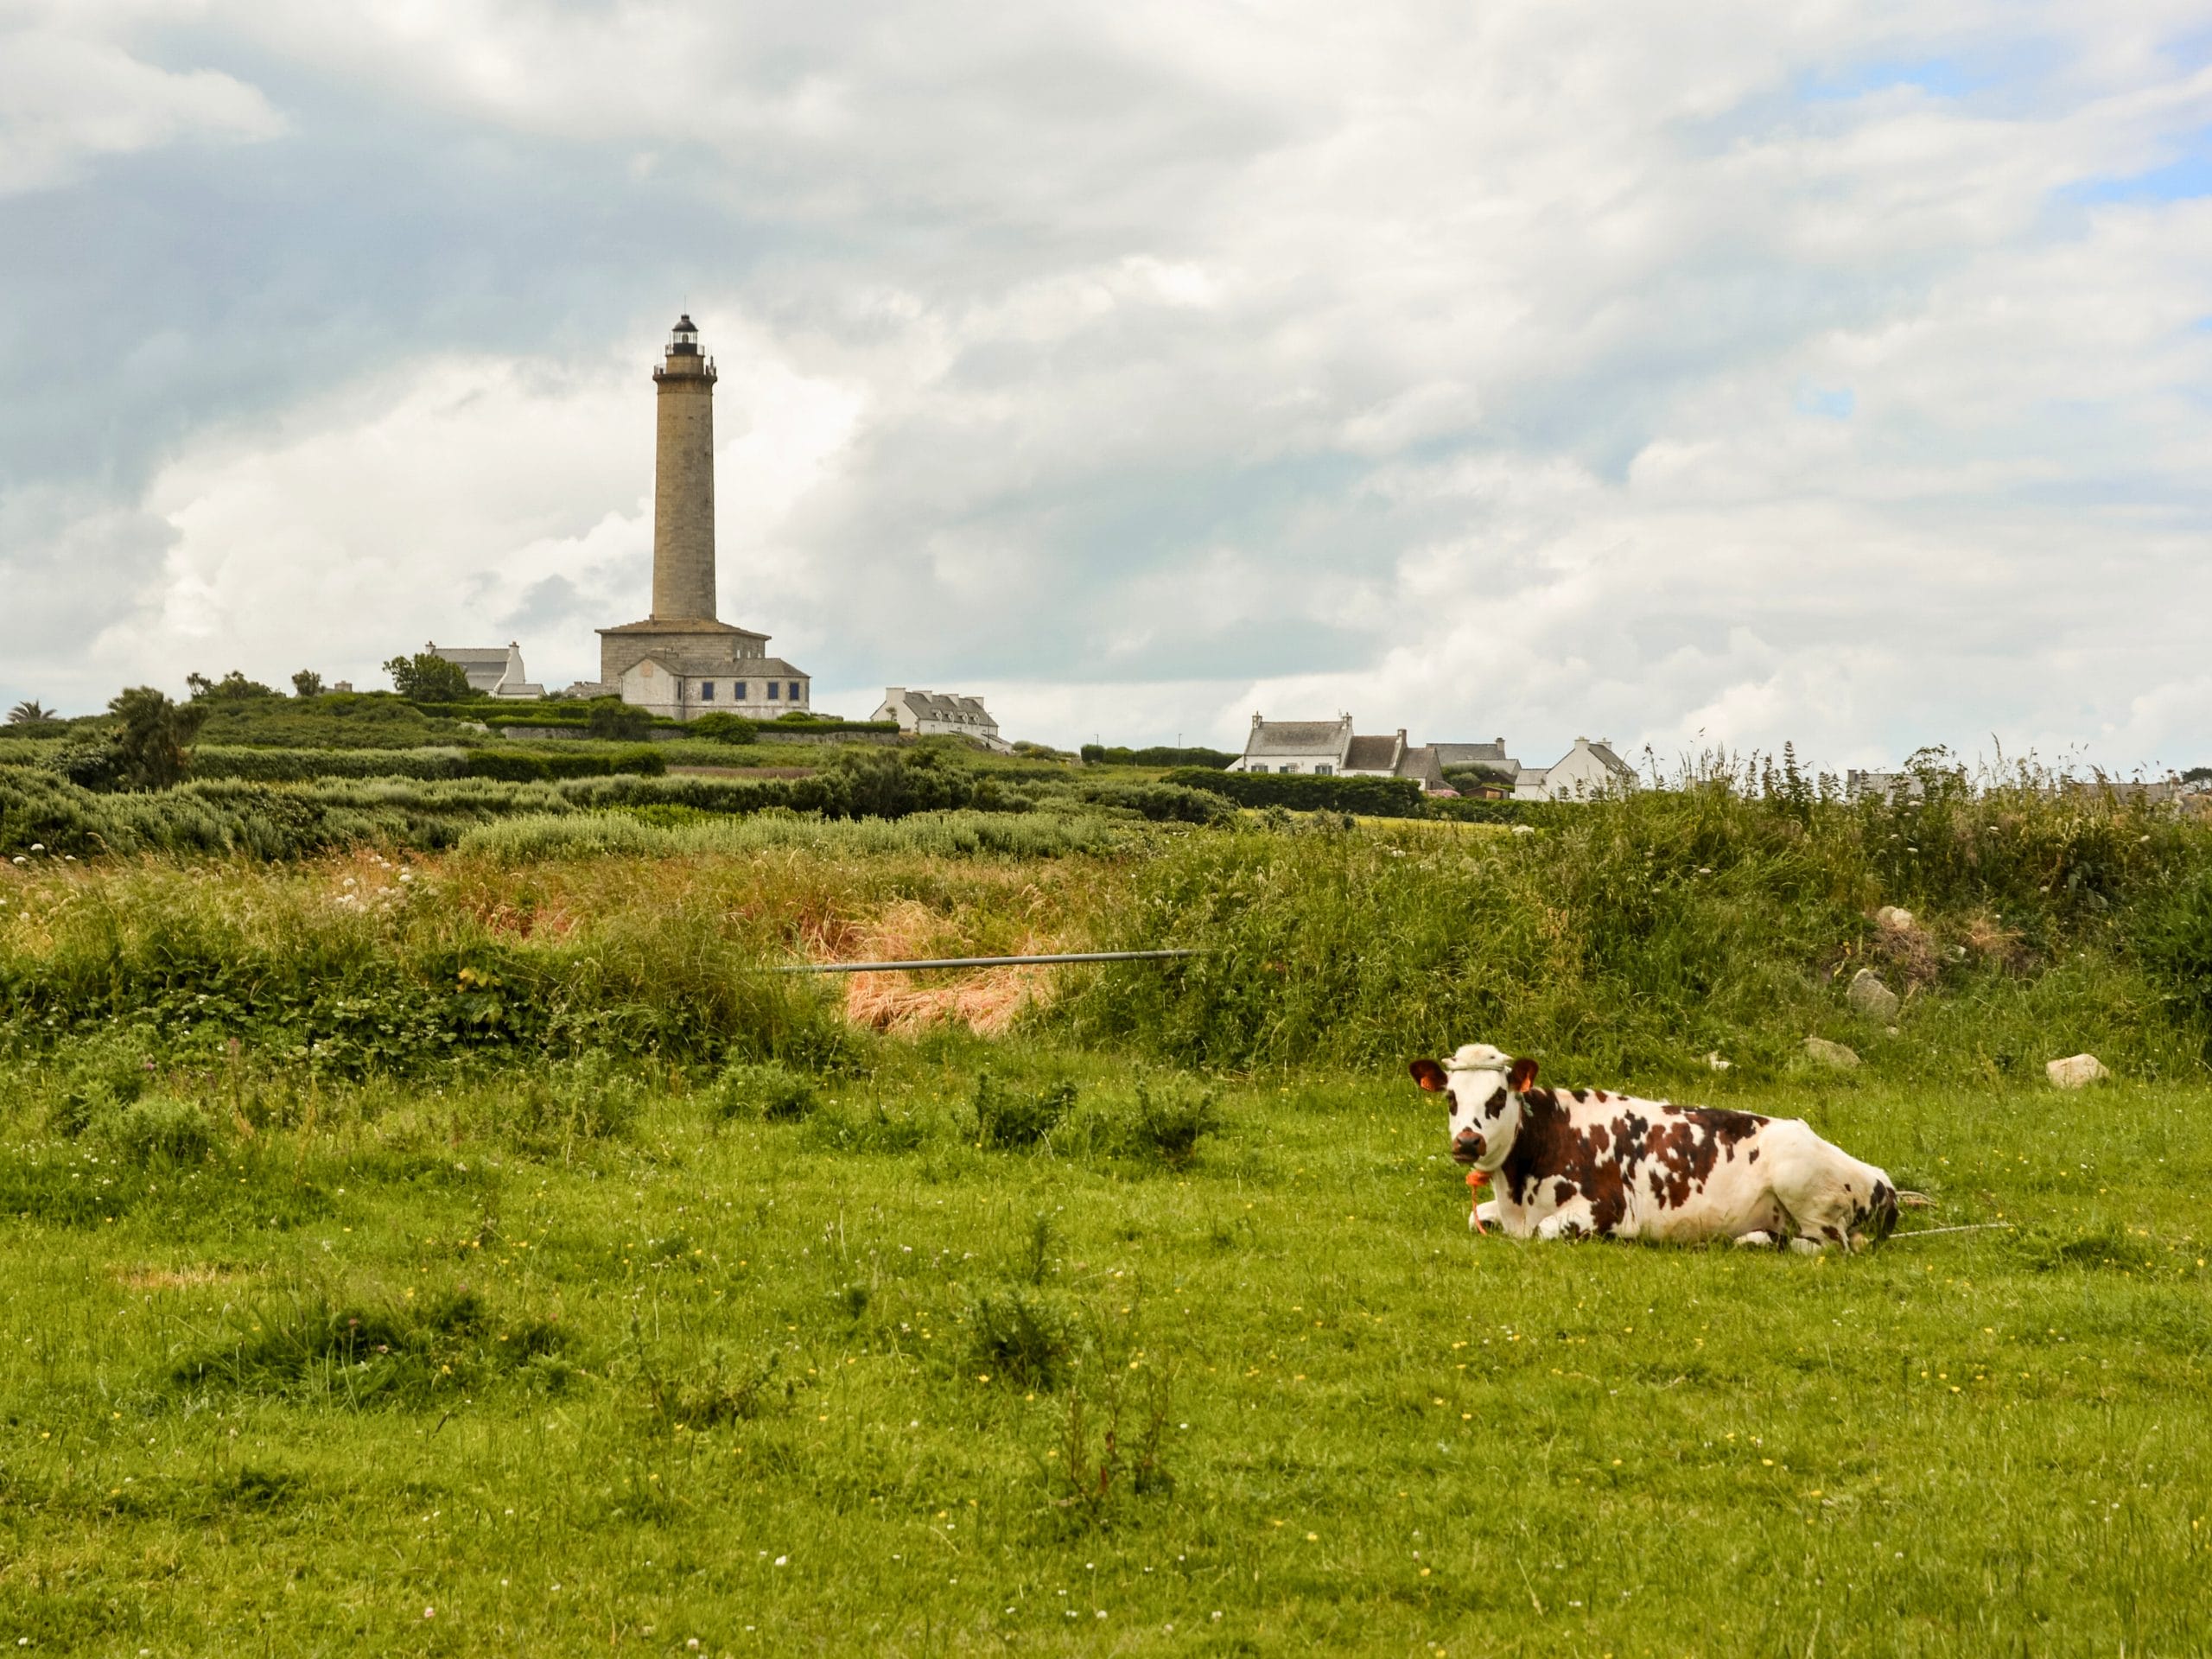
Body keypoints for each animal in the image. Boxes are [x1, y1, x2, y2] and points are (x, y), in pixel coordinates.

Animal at [1415, 1044, 1902, 1256]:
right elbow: (1475, 1216)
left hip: (1805, 1190)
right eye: (1451, 1097)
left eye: (1498, 1096)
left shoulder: (1604, 1208)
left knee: (1830, 1245)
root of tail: (1882, 1178)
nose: (1468, 1141)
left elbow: (1546, 1232)